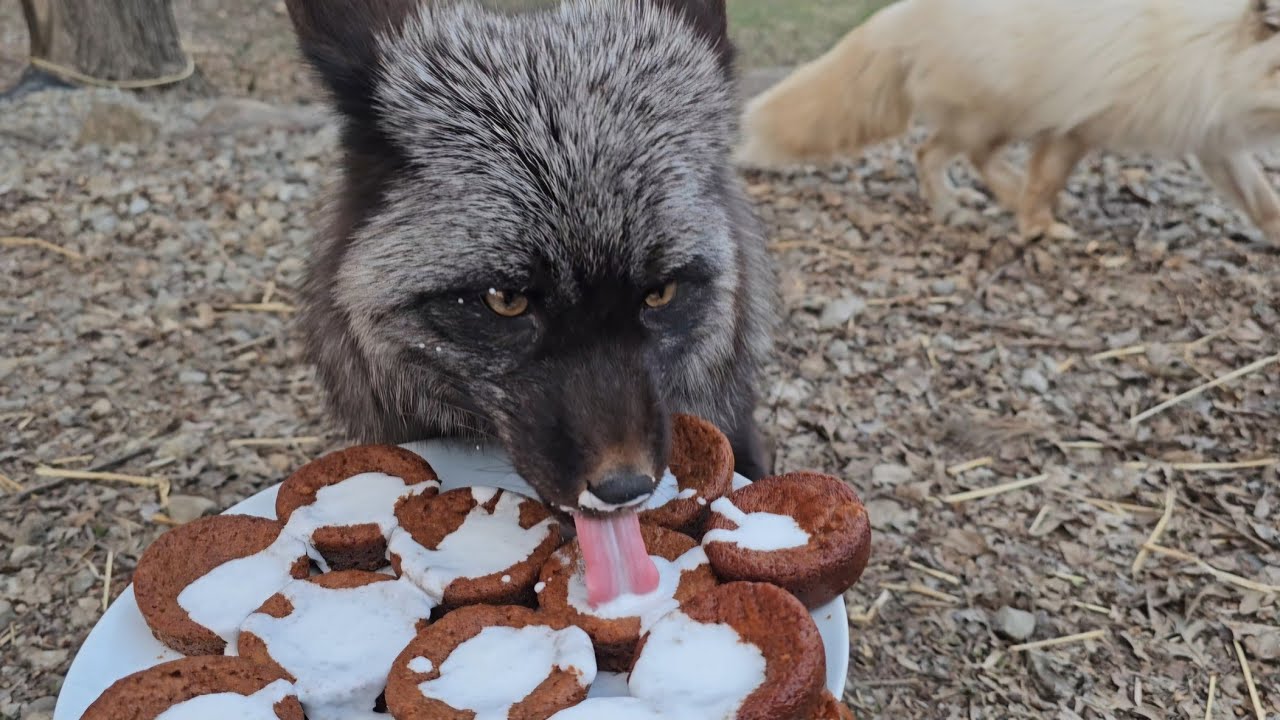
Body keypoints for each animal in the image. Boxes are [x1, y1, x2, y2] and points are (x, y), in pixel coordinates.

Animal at [735, 0, 1280, 245]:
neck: (1207, 48)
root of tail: (901, 13)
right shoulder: (1076, 126)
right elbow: (1045, 182)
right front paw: (1038, 227)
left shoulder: (1214, 140)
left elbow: (1261, 199)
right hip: (992, 120)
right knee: (934, 153)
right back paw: (954, 206)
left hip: (998, 122)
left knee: (970, 160)